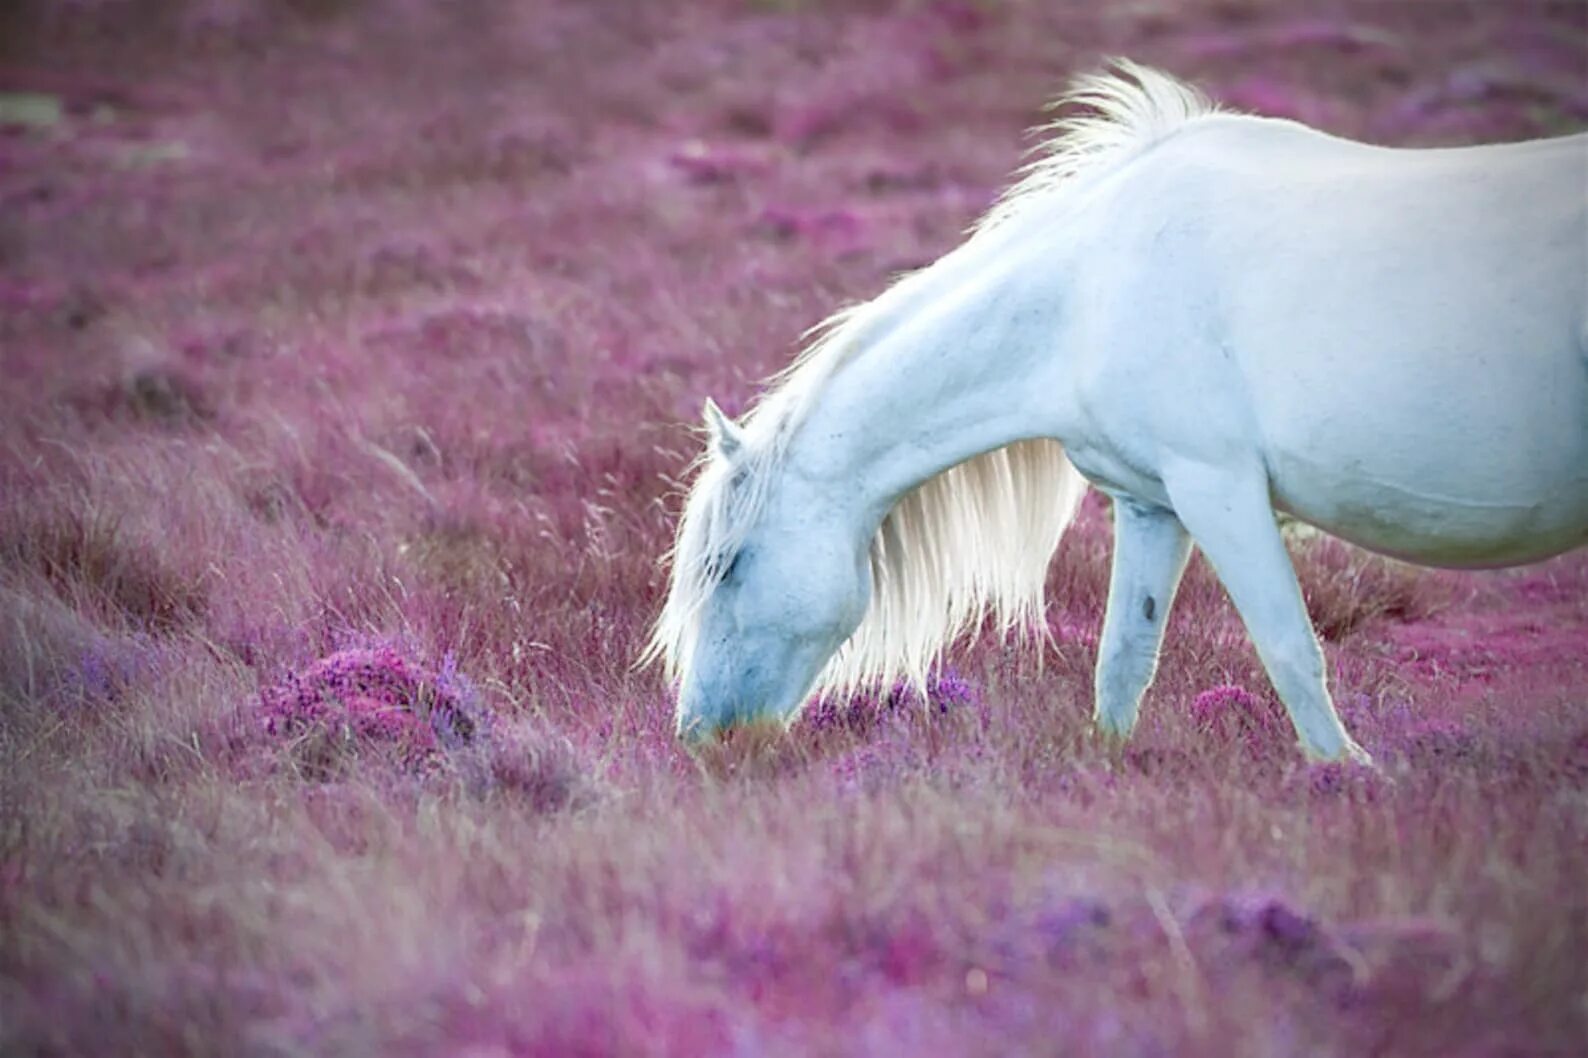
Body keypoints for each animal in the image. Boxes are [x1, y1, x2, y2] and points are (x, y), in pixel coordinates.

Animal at [644, 59, 1588, 759]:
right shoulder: (1151, 503)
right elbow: (1124, 659)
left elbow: (1290, 649)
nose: (702, 736)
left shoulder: (1218, 489)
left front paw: (1346, 774)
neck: (1089, 290)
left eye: (726, 566)